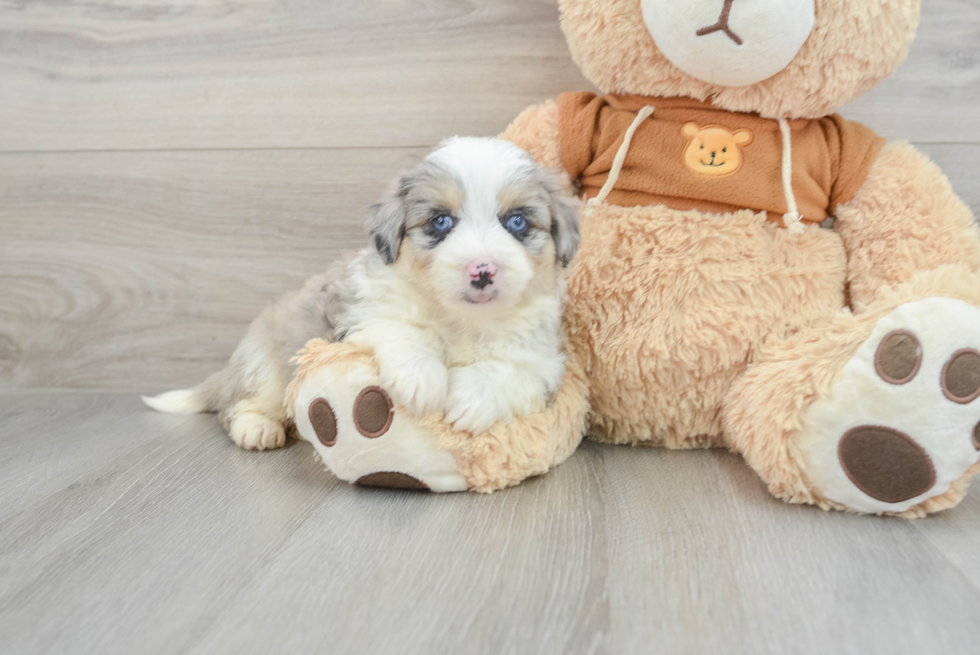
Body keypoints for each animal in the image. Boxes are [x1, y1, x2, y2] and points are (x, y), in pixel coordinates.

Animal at [142, 138, 580, 452]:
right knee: (237, 406)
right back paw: (258, 428)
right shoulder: (365, 311)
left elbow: (508, 372)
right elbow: (405, 331)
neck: (462, 320)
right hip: (265, 368)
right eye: (440, 222)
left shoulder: (540, 359)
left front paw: (470, 401)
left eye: (517, 222)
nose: (482, 270)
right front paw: (422, 379)